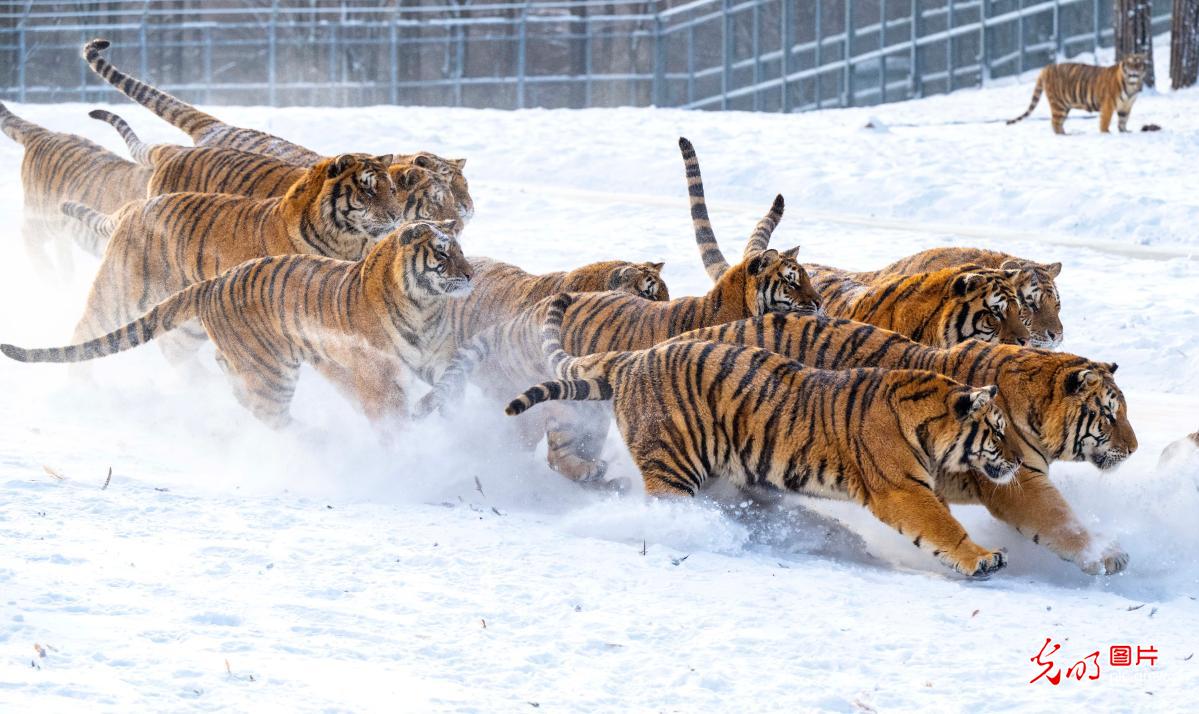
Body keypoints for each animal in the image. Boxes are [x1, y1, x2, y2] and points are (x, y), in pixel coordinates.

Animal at [1, 221, 470, 429]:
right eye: (442, 254)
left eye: (461, 251)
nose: (469, 275)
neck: (425, 307)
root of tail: (213, 282)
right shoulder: (378, 377)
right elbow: (391, 419)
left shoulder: (439, 358)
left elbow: (452, 384)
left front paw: (442, 416)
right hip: (272, 371)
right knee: (272, 416)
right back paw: (321, 443)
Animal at [63, 153, 401, 366]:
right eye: (368, 190)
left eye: (392, 188)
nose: (397, 215)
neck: (346, 241)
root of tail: (133, 207)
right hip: (121, 293)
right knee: (85, 332)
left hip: (189, 322)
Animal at [507, 294, 1020, 578]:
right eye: (998, 431)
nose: (1018, 460)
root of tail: (635, 356)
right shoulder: (901, 490)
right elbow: (942, 526)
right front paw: (981, 558)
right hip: (674, 464)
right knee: (668, 508)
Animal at [1007, 53, 1149, 134]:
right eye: (1130, 63)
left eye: (1138, 64)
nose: (1134, 71)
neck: (1131, 85)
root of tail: (1046, 68)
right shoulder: (1108, 105)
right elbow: (1105, 120)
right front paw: (1106, 132)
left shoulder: (1127, 105)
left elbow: (1123, 120)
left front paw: (1124, 131)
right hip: (1059, 105)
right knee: (1055, 122)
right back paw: (1063, 135)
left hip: (1064, 106)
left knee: (1057, 122)